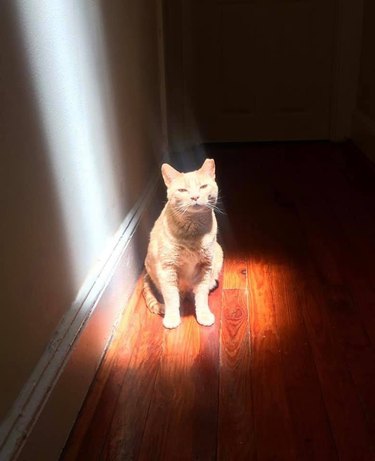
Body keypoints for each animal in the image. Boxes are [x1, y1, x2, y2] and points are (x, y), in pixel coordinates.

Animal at [142, 158, 222, 328]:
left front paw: (203, 315)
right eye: (183, 190)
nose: (195, 197)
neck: (192, 234)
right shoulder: (167, 269)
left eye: (203, 187)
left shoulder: (206, 266)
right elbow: (171, 297)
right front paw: (172, 318)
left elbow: (201, 296)